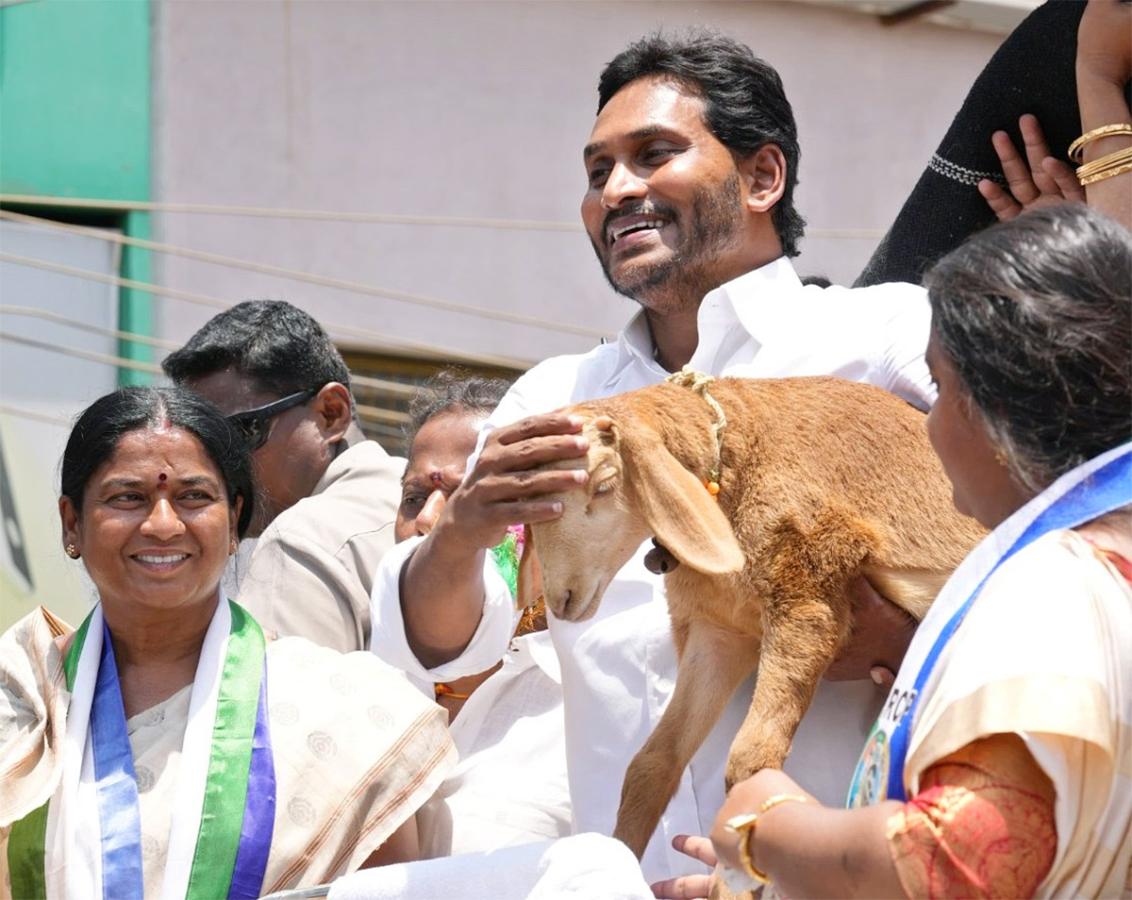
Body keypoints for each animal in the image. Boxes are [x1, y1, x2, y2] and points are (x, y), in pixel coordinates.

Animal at [518, 375, 987, 860]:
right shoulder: (720, 631)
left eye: (605, 484)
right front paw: (618, 859)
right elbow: (652, 762)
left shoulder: (809, 593)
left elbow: (750, 764)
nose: (560, 600)